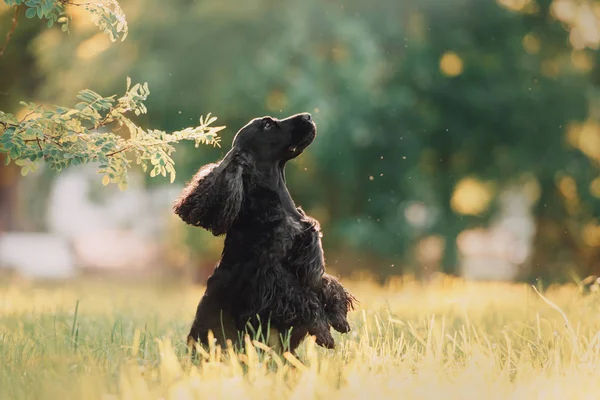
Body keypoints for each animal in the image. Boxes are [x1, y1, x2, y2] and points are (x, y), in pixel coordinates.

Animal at [176, 113, 358, 354]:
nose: (308, 116)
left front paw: (339, 318)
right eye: (267, 125)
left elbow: (327, 284)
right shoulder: (270, 276)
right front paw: (323, 333)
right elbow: (306, 300)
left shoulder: (307, 264)